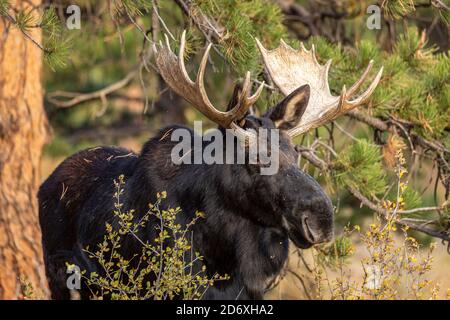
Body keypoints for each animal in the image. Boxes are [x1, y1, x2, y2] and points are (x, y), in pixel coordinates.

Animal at [39, 32, 384, 300]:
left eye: (296, 154)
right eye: (256, 160)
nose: (321, 220)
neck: (225, 254)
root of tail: (46, 182)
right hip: (61, 276)